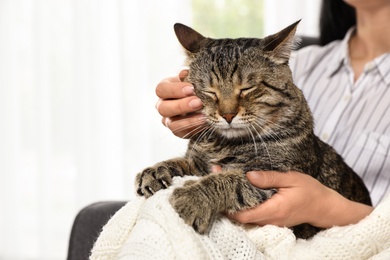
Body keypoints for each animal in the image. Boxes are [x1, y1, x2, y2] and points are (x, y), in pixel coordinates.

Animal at [136, 21, 372, 239]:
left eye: (247, 89)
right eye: (209, 91)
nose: (227, 115)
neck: (223, 143)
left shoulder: (269, 176)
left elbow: (228, 180)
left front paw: (193, 198)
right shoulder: (198, 163)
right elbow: (182, 162)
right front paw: (156, 170)